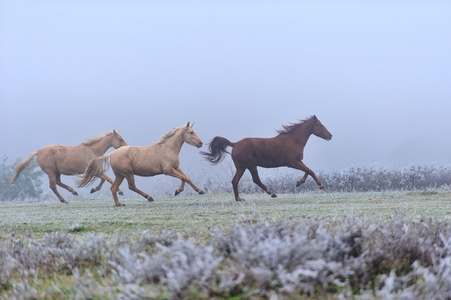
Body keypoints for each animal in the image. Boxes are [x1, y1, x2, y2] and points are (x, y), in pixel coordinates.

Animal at [77, 122, 205, 206]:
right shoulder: (168, 170)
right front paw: (178, 191)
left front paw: (199, 191)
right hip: (128, 173)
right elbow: (183, 178)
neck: (167, 149)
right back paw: (149, 197)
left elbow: (187, 178)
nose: (200, 143)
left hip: (120, 175)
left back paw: (119, 203)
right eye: (191, 132)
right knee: (131, 186)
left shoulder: (176, 167)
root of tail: (112, 153)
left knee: (113, 188)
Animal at [201, 115, 332, 202]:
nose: (330, 135)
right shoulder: (292, 162)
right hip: (251, 165)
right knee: (256, 180)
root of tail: (235, 144)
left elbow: (307, 170)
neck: (293, 140)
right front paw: (320, 185)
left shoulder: (298, 161)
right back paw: (272, 193)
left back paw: (239, 198)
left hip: (241, 167)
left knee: (235, 181)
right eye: (320, 125)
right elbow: (310, 170)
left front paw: (299, 182)